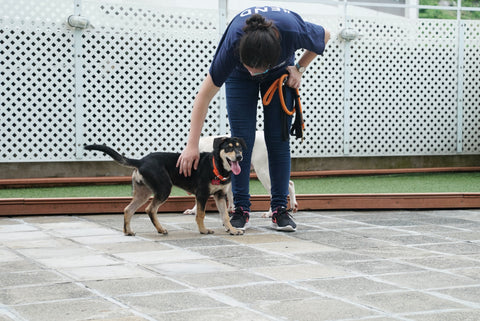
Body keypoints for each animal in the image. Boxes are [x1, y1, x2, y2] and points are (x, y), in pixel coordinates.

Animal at [84, 136, 246, 236]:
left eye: (239, 148)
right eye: (228, 148)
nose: (239, 157)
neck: (217, 166)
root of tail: (141, 161)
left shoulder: (220, 195)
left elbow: (225, 215)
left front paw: (233, 230)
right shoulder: (202, 194)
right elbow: (200, 214)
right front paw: (203, 230)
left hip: (143, 192)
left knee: (128, 209)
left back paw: (130, 231)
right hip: (164, 188)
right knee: (150, 209)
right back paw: (160, 229)